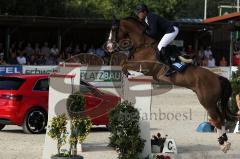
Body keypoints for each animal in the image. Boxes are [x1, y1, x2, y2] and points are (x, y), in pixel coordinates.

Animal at [106, 16, 236, 153]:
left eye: (114, 29)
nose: (108, 47)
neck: (143, 45)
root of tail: (217, 77)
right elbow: (124, 63)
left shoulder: (145, 65)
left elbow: (124, 64)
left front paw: (129, 73)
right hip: (211, 102)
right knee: (221, 119)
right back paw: (224, 141)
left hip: (207, 102)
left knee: (217, 119)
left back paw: (223, 144)